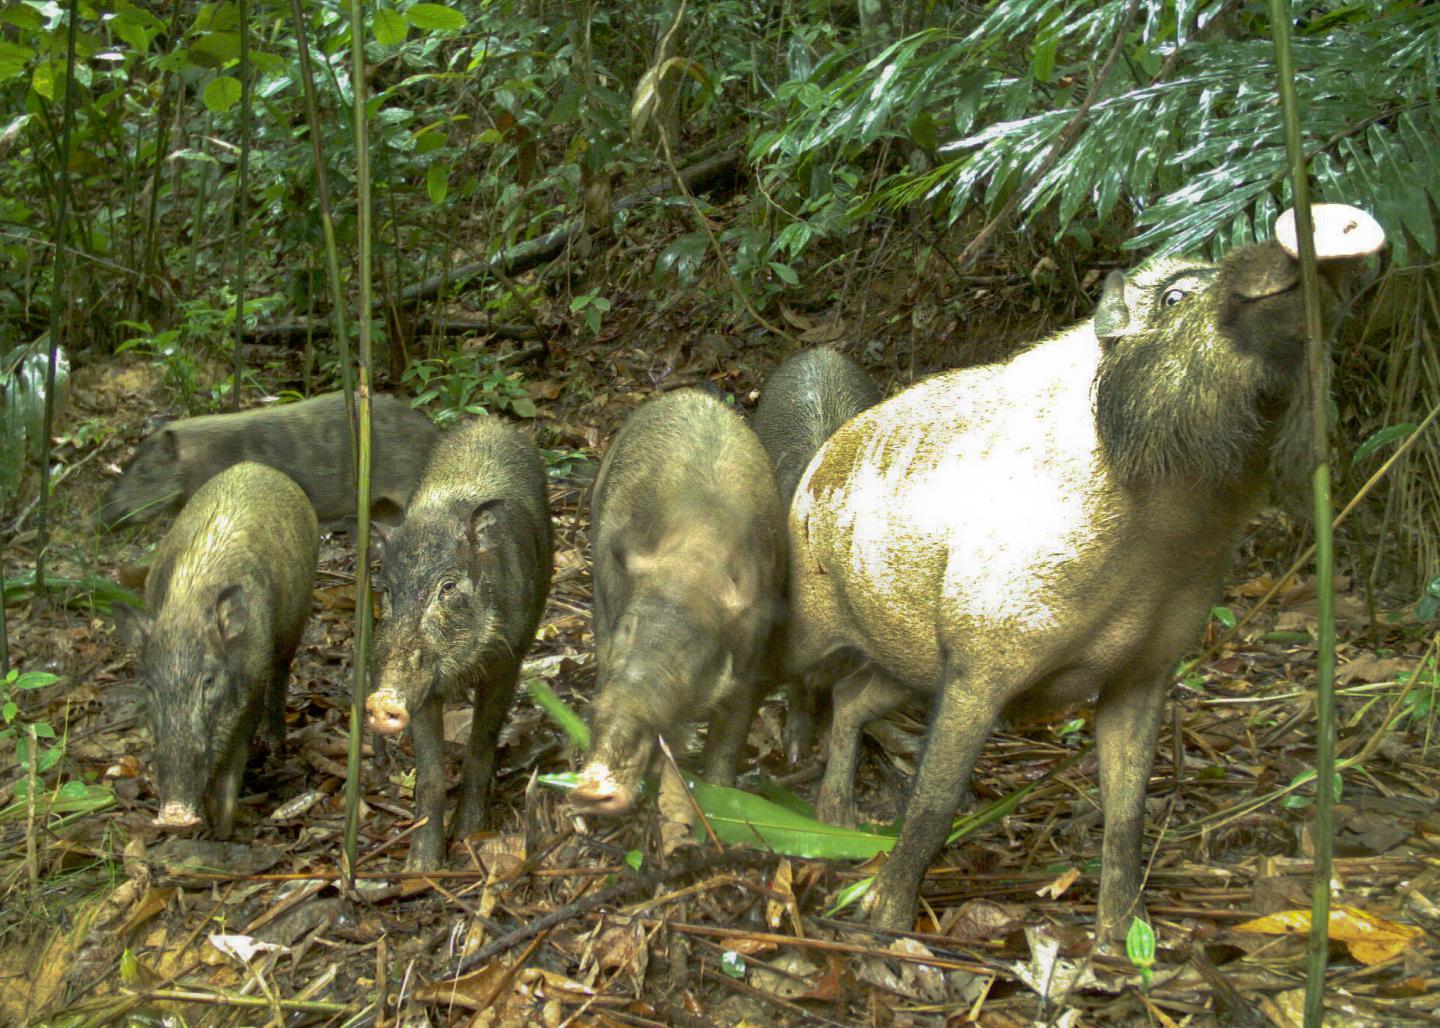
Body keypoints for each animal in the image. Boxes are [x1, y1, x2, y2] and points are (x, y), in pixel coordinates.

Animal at [113, 462, 318, 838]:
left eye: (208, 680)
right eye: (148, 686)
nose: (175, 815)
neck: (187, 608)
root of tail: (257, 466)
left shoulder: (251, 687)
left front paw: (222, 835)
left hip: (296, 618)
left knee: (282, 671)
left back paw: (277, 750)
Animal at [366, 416, 552, 869]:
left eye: (447, 587)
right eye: (387, 592)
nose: (382, 701)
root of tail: (490, 421)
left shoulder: (508, 660)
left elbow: (480, 747)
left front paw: (470, 839)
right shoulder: (422, 688)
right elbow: (430, 776)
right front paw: (420, 869)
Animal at [571, 389, 786, 815]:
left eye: (691, 652)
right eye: (628, 629)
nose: (589, 790)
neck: (693, 558)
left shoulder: (749, 664)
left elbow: (728, 742)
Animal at [787, 205, 1384, 940]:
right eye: (1175, 298)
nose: (1315, 227)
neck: (1168, 527)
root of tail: (815, 462)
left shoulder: (1146, 671)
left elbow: (1127, 812)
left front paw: (1123, 942)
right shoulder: (980, 659)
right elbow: (935, 799)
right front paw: (884, 924)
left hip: (906, 664)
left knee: (852, 698)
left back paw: (837, 819)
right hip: (814, 618)